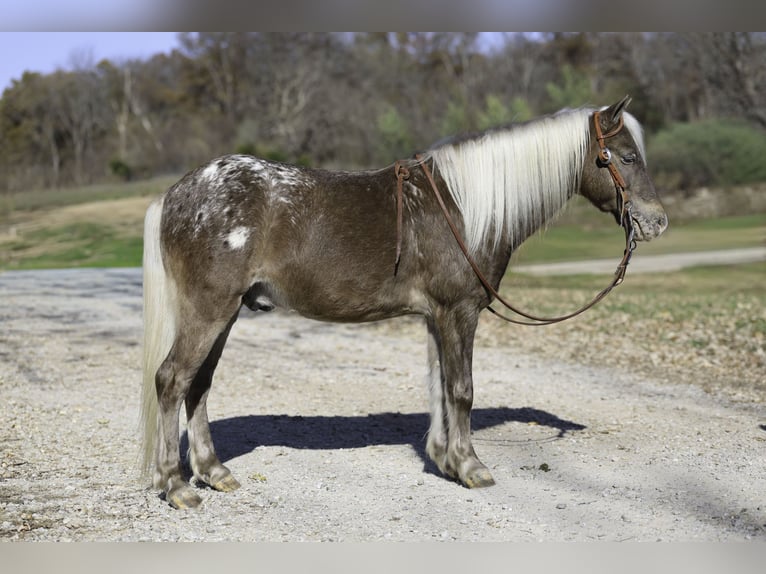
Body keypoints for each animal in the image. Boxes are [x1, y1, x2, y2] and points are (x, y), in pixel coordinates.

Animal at [140, 95, 668, 509]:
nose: (657, 222)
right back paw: (177, 486)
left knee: (198, 385)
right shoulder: (459, 312)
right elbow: (463, 390)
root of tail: (175, 194)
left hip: (224, 314)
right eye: (625, 157)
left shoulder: (436, 317)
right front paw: (471, 467)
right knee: (172, 380)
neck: (463, 208)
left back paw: (213, 472)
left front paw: (444, 460)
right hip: (209, 311)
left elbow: (438, 388)